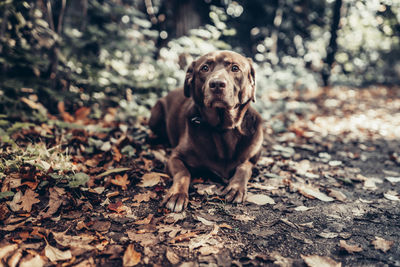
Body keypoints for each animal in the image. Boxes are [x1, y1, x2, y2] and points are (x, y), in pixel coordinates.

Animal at [148, 50, 264, 213]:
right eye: (205, 68)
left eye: (235, 68)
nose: (217, 84)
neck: (222, 129)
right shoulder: (174, 158)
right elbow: (183, 173)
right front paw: (177, 195)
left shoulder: (252, 159)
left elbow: (244, 167)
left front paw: (235, 188)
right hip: (155, 115)